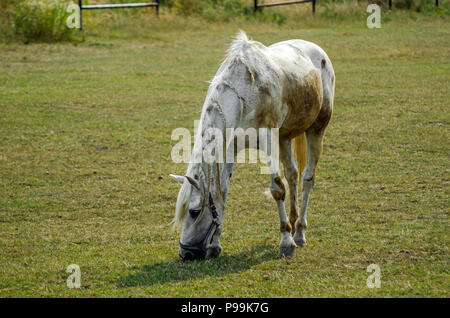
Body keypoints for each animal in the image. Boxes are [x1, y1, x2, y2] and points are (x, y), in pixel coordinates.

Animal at [171, 31, 336, 260]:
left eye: (194, 212)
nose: (186, 253)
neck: (244, 93)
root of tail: (318, 52)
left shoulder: (268, 141)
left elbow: (277, 189)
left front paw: (286, 242)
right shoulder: (230, 148)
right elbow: (222, 192)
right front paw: (215, 245)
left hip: (317, 128)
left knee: (307, 178)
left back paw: (299, 232)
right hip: (284, 137)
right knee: (293, 175)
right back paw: (293, 223)